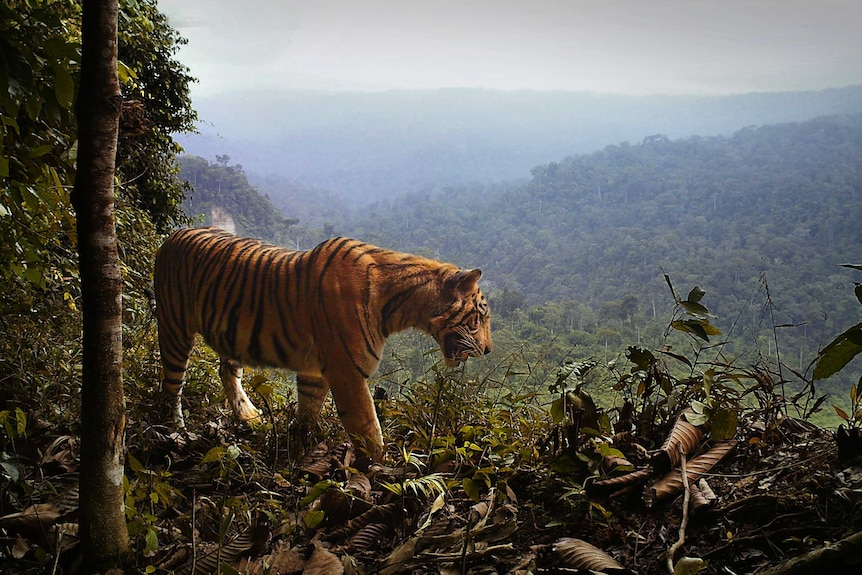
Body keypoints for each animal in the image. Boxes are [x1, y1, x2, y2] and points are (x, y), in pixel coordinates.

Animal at [153, 227, 492, 462]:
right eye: (480, 317)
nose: (489, 349)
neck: (400, 306)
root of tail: (172, 235)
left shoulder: (315, 371)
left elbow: (308, 410)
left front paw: (299, 447)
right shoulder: (347, 373)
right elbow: (368, 427)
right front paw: (383, 470)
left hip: (229, 336)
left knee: (226, 371)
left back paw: (248, 415)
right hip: (174, 329)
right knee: (170, 386)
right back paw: (176, 433)